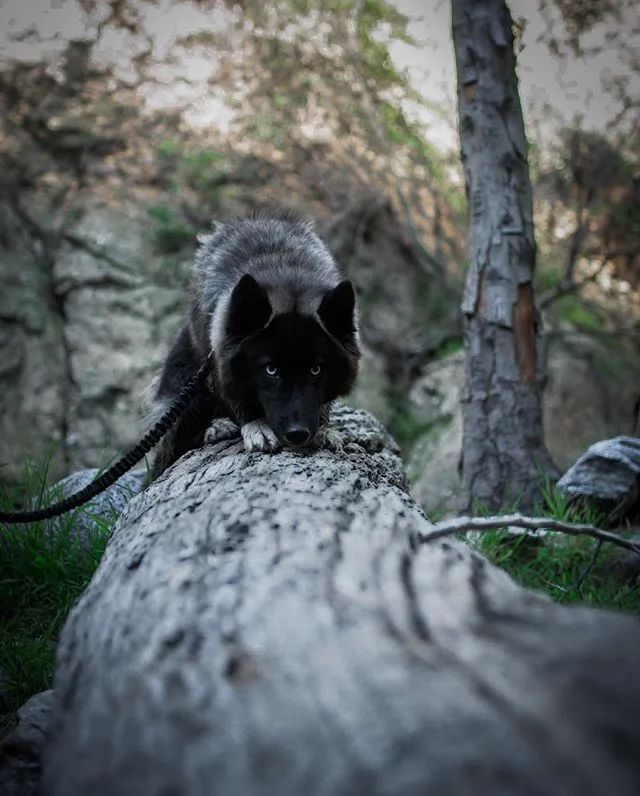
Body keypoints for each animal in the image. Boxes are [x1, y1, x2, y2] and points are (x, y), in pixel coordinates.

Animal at [148, 211, 362, 476]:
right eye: (270, 370)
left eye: (316, 370)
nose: (298, 435)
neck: (284, 270)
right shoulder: (219, 364)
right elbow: (239, 399)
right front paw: (256, 426)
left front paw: (324, 428)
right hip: (186, 389)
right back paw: (215, 428)